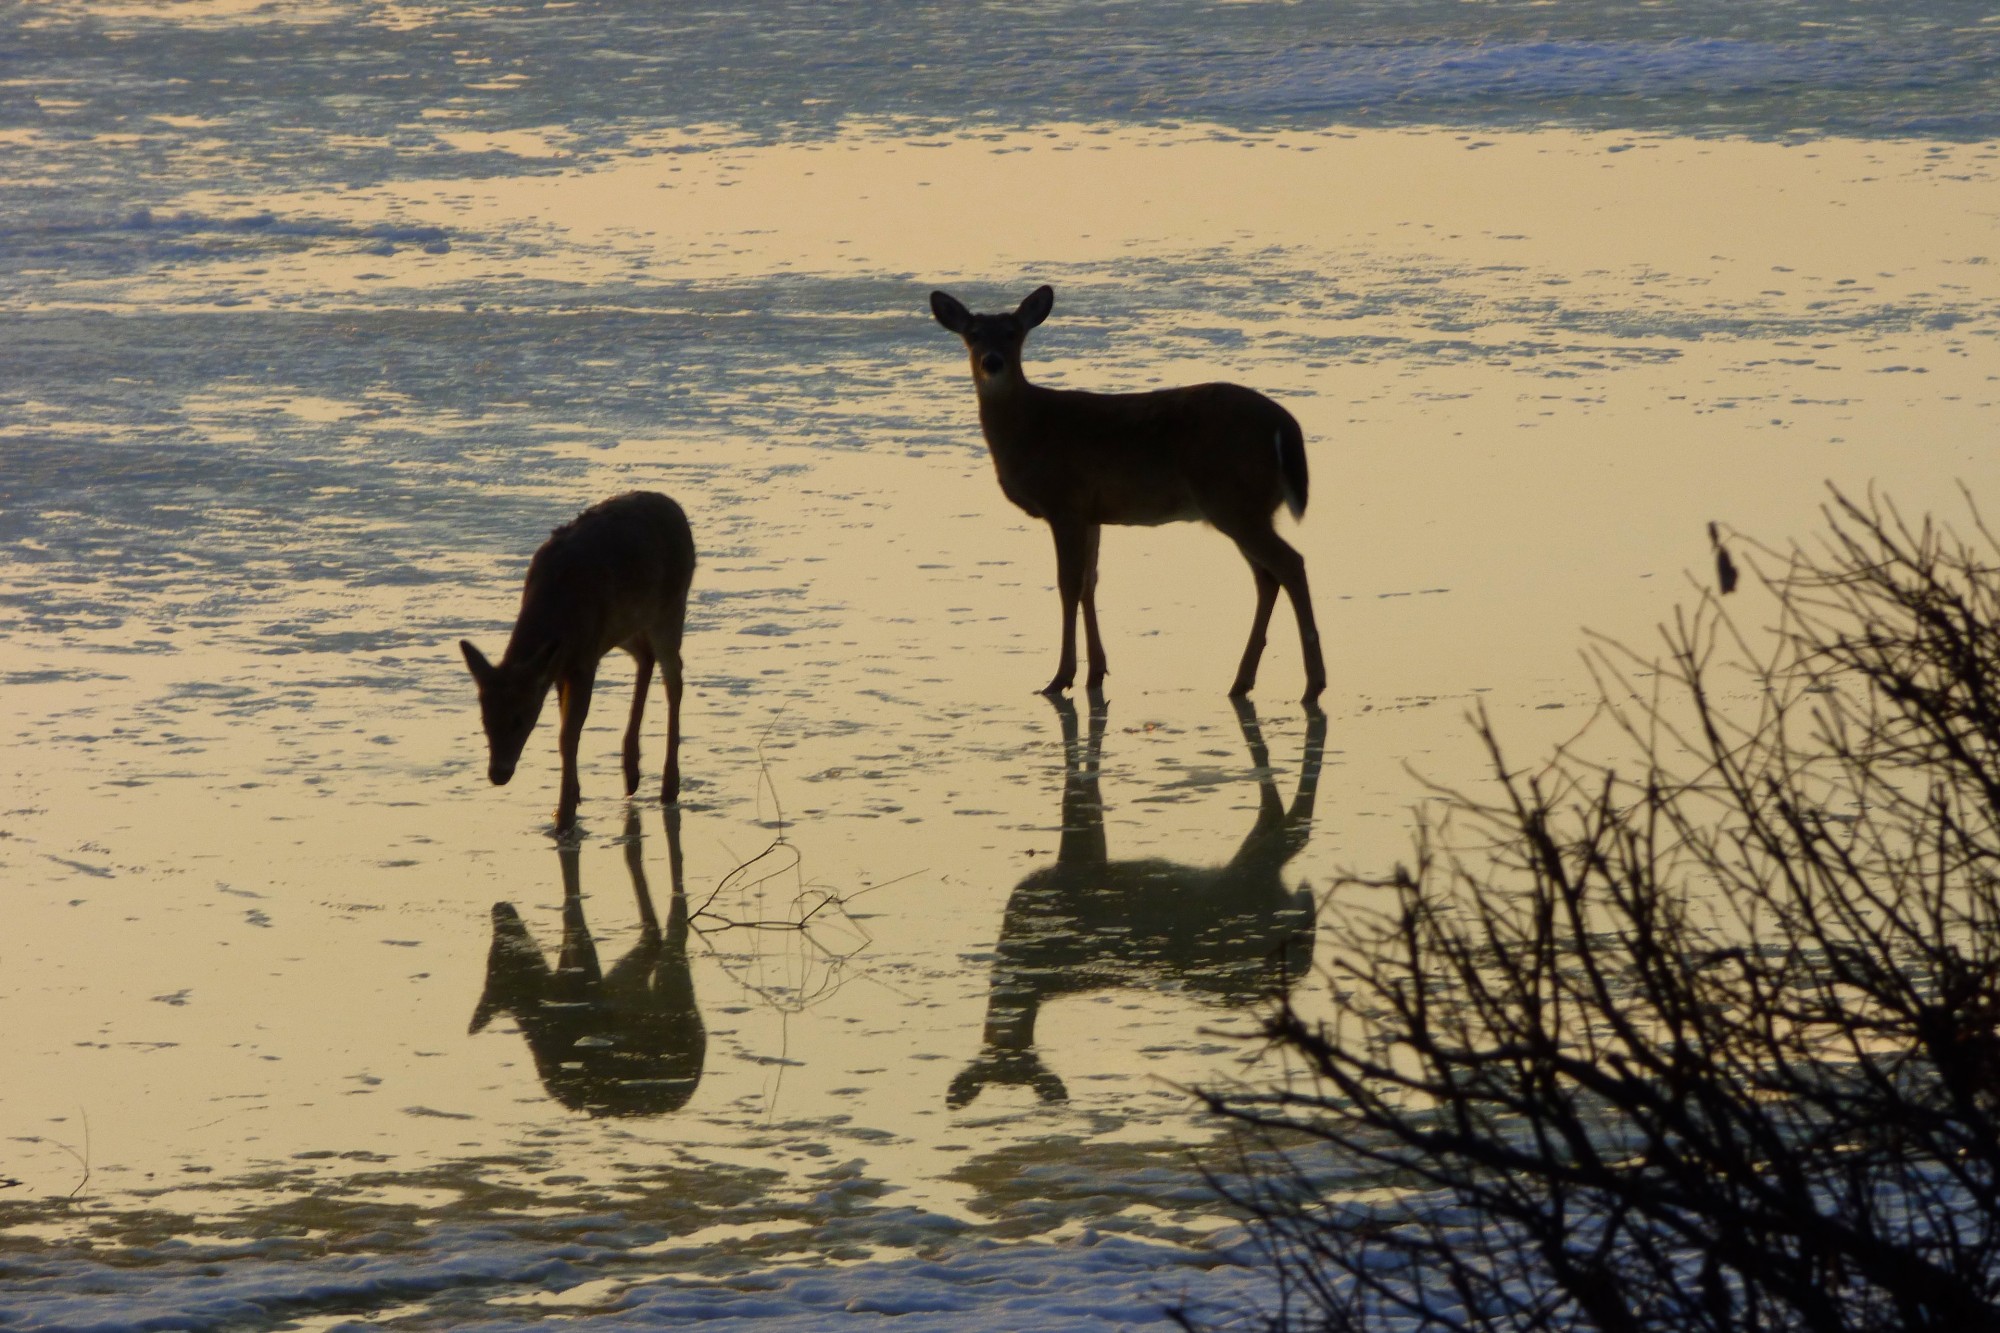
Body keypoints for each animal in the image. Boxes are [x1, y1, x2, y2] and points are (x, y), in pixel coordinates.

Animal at [459, 491, 694, 833]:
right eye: (484, 718)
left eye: (520, 718)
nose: (498, 774)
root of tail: (676, 508)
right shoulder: (561, 664)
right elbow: (565, 729)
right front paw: (573, 798)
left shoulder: (583, 659)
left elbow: (568, 734)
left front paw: (564, 817)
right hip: (622, 627)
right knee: (645, 656)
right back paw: (631, 773)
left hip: (669, 607)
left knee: (674, 679)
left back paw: (669, 787)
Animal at [470, 804, 706, 1117]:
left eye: (498, 958)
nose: (499, 908)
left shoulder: (586, 976)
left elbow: (574, 915)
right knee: (656, 931)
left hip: (668, 989)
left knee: (669, 928)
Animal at [930, 285, 1326, 703]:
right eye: (973, 334)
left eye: (1012, 332)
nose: (992, 362)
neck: (1030, 429)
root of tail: (1286, 425)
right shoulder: (1091, 513)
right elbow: (1089, 582)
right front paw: (1096, 673)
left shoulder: (1064, 501)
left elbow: (1068, 583)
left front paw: (1060, 678)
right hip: (1244, 505)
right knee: (1267, 577)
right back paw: (1241, 682)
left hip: (1233, 498)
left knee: (1290, 564)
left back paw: (1312, 684)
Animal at [947, 694, 1324, 1109]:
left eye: (1023, 1059)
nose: (1005, 1041)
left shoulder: (1078, 863)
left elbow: (1077, 791)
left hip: (1248, 882)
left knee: (1293, 827)